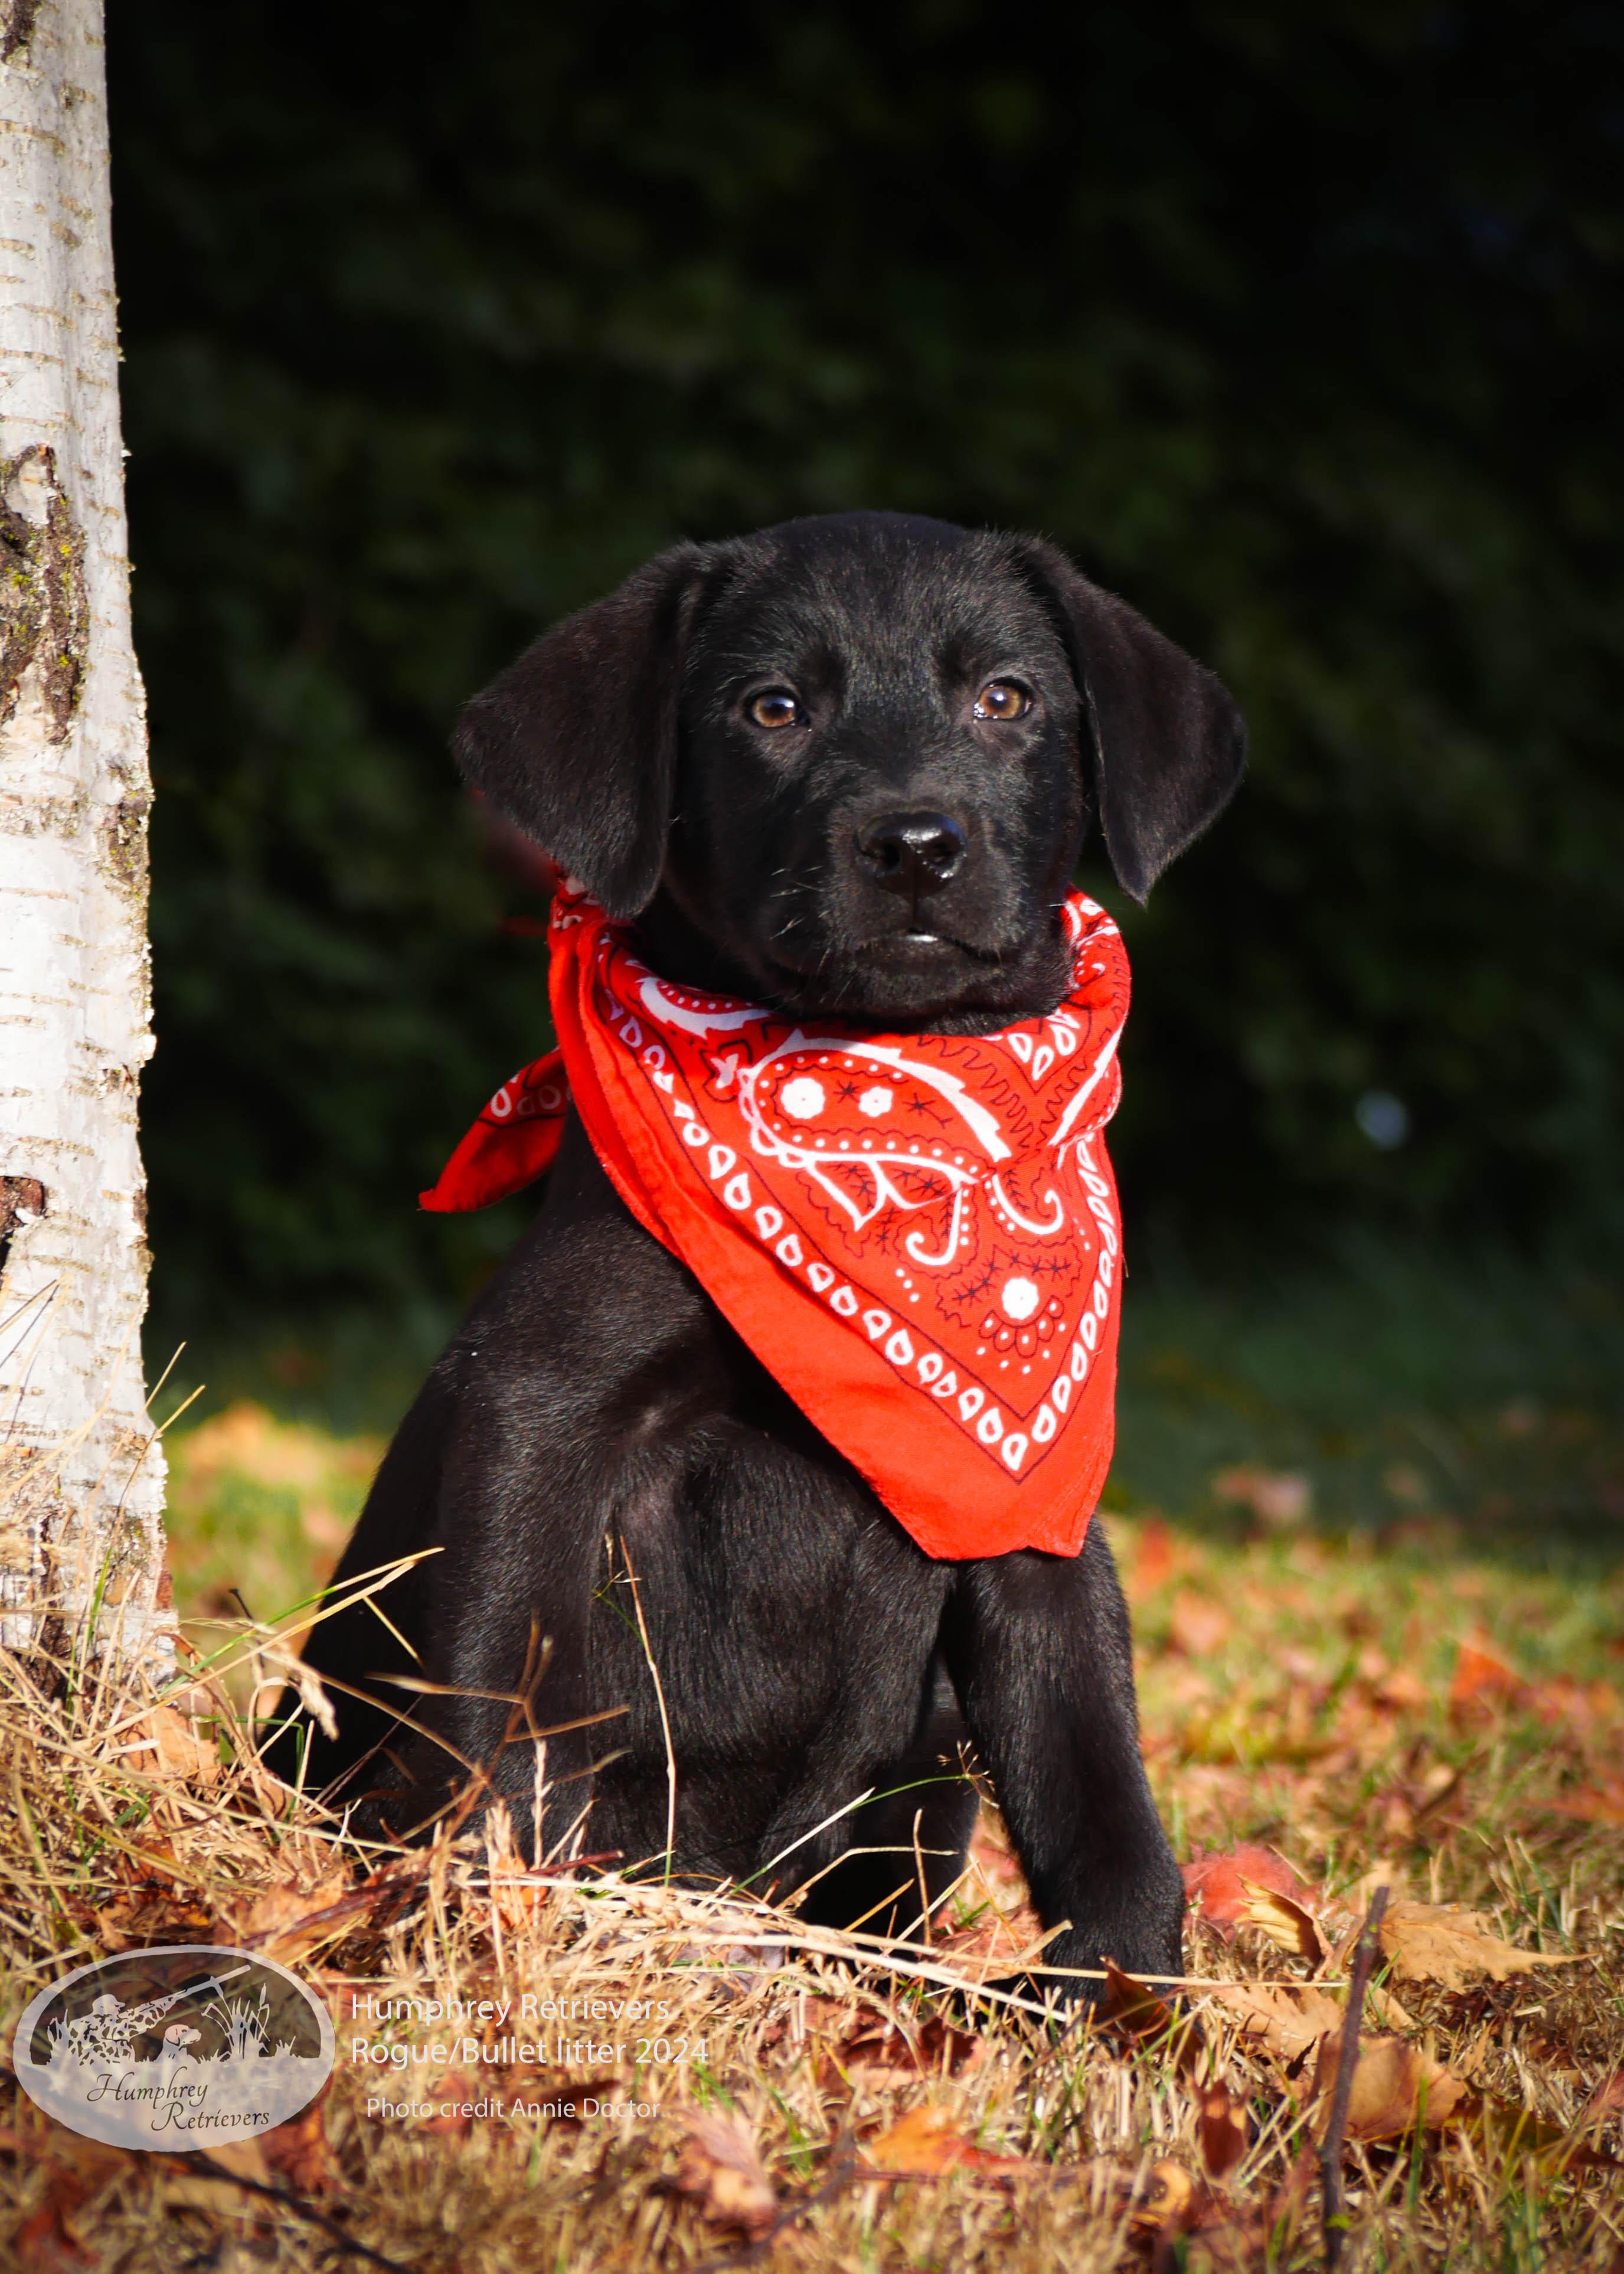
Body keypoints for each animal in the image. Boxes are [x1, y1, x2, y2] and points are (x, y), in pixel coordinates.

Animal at [278, 511, 1244, 1992]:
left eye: (1007, 699)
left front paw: (1126, 1988)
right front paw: (473, 1925)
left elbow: (1091, 1755)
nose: (915, 845)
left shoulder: (1029, 1496)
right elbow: (498, 1690)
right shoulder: (540, 1409)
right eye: (773, 708)